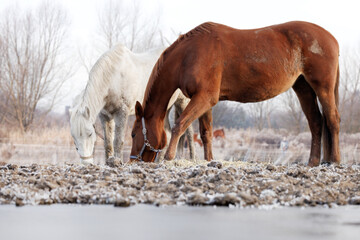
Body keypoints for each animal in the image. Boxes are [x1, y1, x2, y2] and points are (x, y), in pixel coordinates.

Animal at [130, 21, 340, 166]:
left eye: (133, 134)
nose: (133, 160)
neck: (189, 54)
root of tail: (332, 38)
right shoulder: (205, 101)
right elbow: (206, 133)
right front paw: (209, 161)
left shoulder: (204, 98)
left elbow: (179, 125)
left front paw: (169, 157)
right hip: (303, 88)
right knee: (316, 122)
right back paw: (313, 162)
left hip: (323, 87)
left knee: (332, 119)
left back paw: (334, 160)